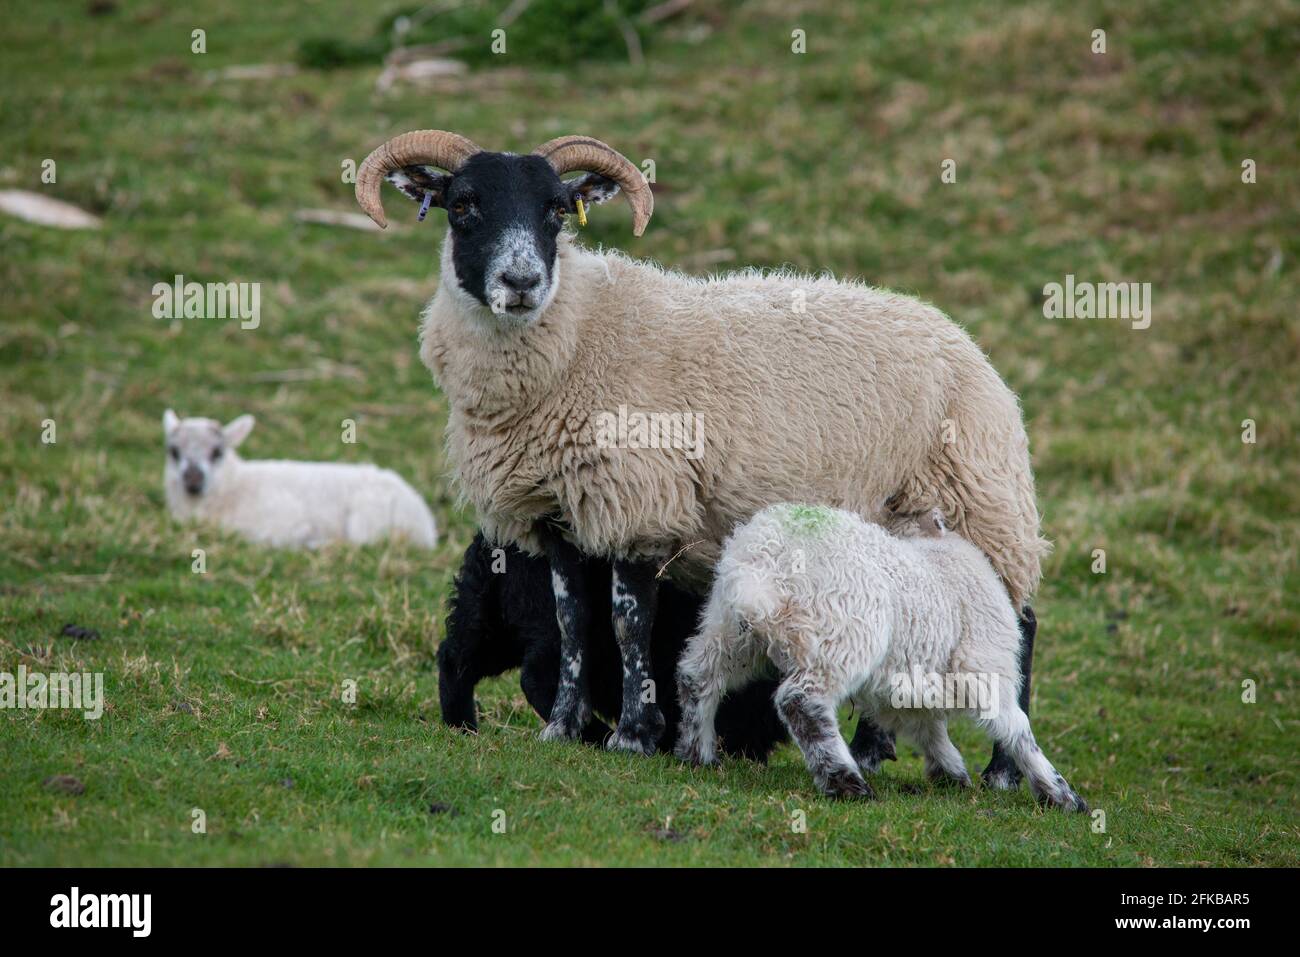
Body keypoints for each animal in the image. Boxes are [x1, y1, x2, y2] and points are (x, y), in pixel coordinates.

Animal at [160, 408, 436, 548]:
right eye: (173, 451)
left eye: (217, 452)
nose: (193, 480)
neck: (235, 485)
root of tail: (426, 525)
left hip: (370, 518)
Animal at [670, 504, 1086, 811]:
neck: (941, 554)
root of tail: (763, 564)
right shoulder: (983, 666)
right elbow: (1016, 728)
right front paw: (1060, 794)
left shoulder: (909, 682)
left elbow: (929, 728)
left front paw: (950, 772)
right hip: (841, 636)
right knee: (800, 701)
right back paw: (845, 782)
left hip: (732, 631)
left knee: (697, 675)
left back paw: (696, 753)